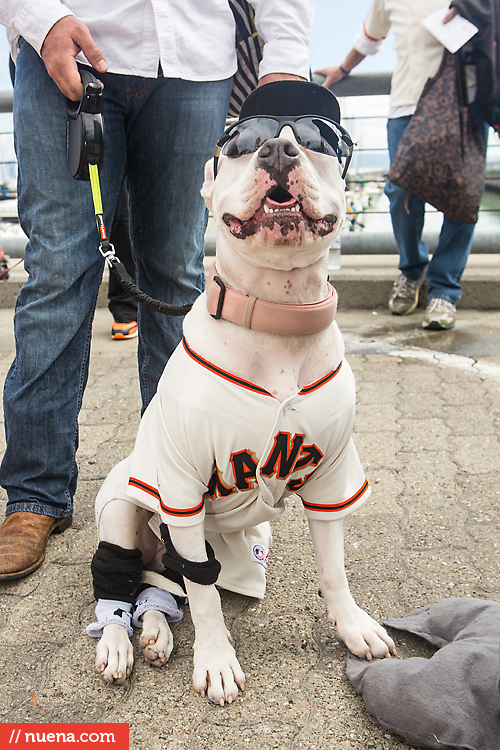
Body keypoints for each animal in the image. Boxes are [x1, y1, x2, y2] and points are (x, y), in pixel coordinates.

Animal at [88, 81, 396, 704]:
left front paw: (353, 626)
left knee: (163, 586)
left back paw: (155, 631)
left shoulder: (333, 476)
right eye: (239, 145)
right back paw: (118, 642)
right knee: (124, 581)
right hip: (123, 507)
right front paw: (216, 661)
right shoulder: (180, 487)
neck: (278, 317)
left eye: (317, 141)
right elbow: (205, 595)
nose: (278, 150)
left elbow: (334, 567)